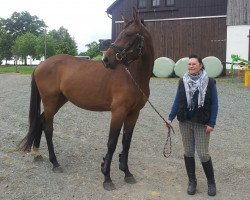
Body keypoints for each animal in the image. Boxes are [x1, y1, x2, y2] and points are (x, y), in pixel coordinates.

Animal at [18, 9, 154, 191]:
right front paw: (107, 178)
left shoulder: (134, 113)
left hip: (59, 101)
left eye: (128, 34)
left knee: (40, 121)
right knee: (48, 127)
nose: (106, 60)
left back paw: (37, 153)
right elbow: (112, 143)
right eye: (121, 33)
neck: (133, 77)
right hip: (50, 101)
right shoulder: (118, 112)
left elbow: (126, 142)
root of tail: (41, 64)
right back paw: (55, 163)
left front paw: (127, 173)